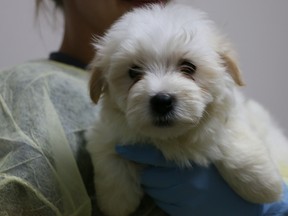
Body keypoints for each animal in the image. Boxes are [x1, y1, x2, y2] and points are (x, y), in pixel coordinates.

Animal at [86, 2, 288, 216]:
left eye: (189, 67)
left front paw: (264, 185)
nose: (162, 101)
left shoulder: (236, 113)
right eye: (133, 72)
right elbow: (110, 160)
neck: (173, 140)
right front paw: (116, 202)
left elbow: (229, 136)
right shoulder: (103, 133)